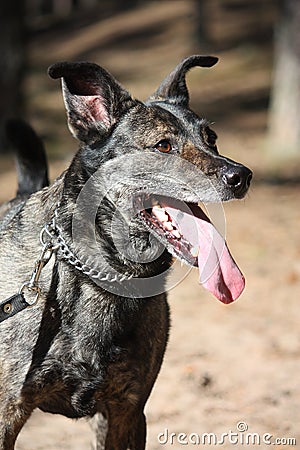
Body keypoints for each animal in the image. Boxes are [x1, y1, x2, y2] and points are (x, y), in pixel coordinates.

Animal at [0, 57, 252, 450]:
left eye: (210, 139)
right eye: (163, 146)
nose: (241, 176)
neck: (103, 275)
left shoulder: (127, 412)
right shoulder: (8, 413)